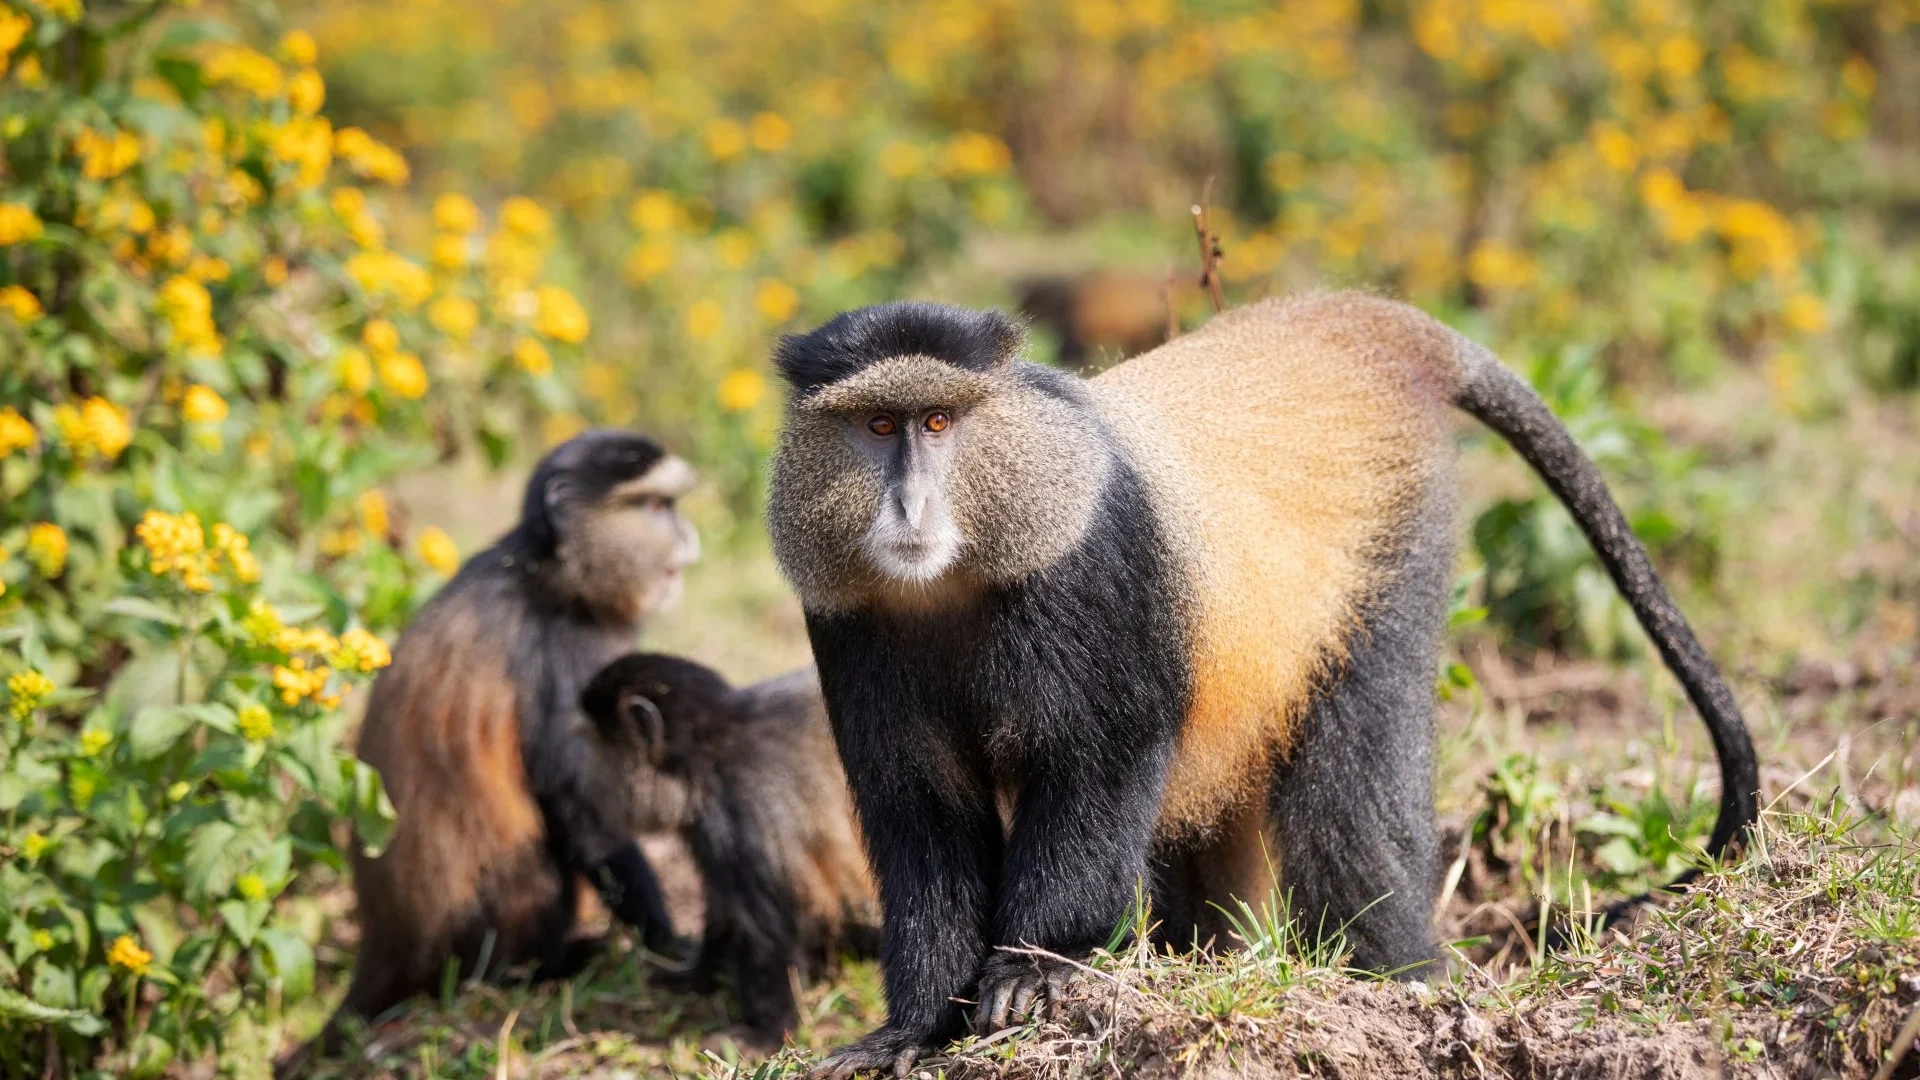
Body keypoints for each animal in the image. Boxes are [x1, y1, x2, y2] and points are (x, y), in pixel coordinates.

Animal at [284, 430, 702, 1070]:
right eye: (656, 507)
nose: (688, 538)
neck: (548, 573)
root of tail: (383, 948)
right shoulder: (565, 653)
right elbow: (579, 807)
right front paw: (669, 942)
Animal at [579, 653, 880, 1049]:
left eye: (597, 747)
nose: (585, 776)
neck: (707, 753)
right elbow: (723, 905)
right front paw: (695, 976)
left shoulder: (740, 804)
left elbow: (766, 929)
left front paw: (764, 1033)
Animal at [761, 294, 1761, 1077]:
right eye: (878, 427)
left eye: (938, 423)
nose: (908, 506)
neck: (958, 577)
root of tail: (1348, 325)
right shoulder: (849, 625)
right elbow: (920, 814)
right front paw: (914, 1028)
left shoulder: (1094, 571)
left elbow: (1102, 762)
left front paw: (1042, 967)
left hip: (1389, 556)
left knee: (1354, 804)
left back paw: (1397, 987)